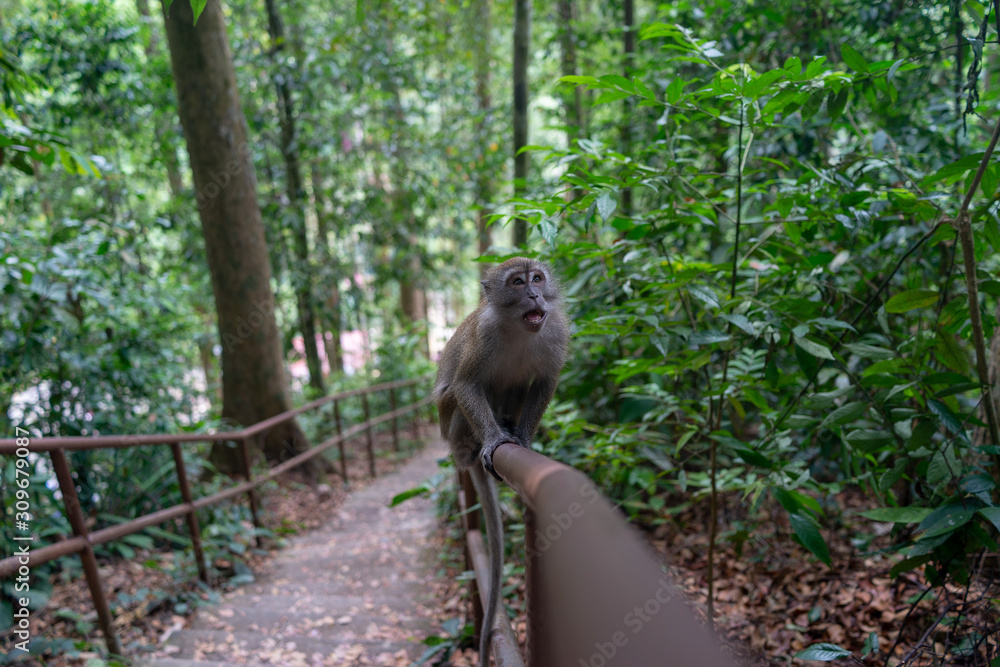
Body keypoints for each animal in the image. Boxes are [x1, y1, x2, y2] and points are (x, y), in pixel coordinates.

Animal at [434, 257, 569, 667]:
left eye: (537, 278)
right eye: (517, 282)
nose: (535, 294)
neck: (518, 328)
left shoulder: (555, 330)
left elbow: (544, 381)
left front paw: (521, 438)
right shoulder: (484, 335)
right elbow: (466, 385)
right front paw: (495, 440)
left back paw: (508, 425)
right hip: (451, 425)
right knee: (461, 392)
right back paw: (481, 439)